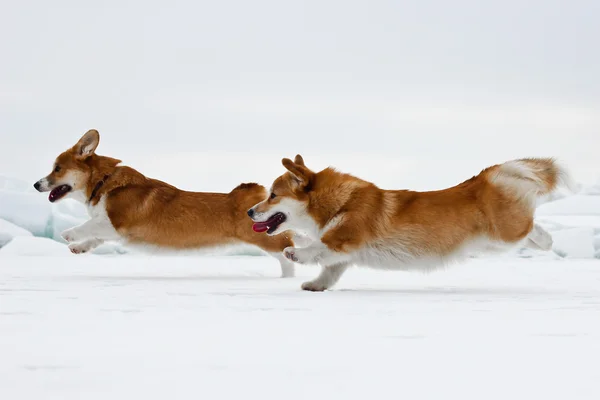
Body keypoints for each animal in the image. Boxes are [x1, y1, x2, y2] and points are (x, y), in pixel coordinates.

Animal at [34, 130, 300, 276]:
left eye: (57, 168)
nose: (36, 184)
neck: (103, 181)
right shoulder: (112, 229)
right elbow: (95, 236)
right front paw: (79, 247)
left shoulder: (115, 222)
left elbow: (89, 226)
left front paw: (68, 234)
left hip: (263, 237)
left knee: (286, 251)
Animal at [247, 155, 572, 290]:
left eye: (273, 195)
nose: (250, 212)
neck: (338, 202)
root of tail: (482, 179)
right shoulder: (343, 253)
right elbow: (329, 270)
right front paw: (315, 286)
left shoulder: (344, 238)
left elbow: (316, 248)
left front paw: (294, 252)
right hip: (494, 242)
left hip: (504, 233)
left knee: (530, 227)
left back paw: (548, 241)